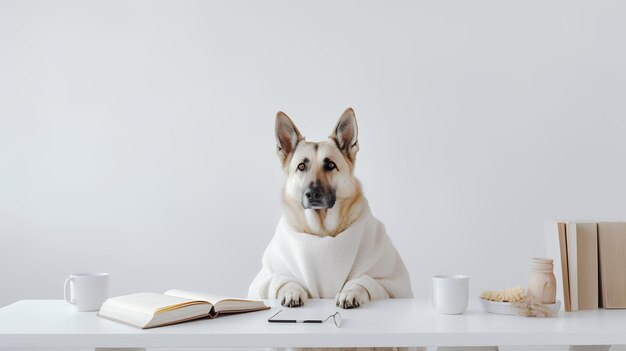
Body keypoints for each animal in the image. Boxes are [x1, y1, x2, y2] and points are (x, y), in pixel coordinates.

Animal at [249, 106, 414, 308]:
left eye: (330, 165)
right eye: (301, 166)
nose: (312, 194)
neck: (322, 232)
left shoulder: (388, 282)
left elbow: (361, 282)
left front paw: (350, 293)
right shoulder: (267, 278)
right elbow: (285, 280)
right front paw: (292, 291)